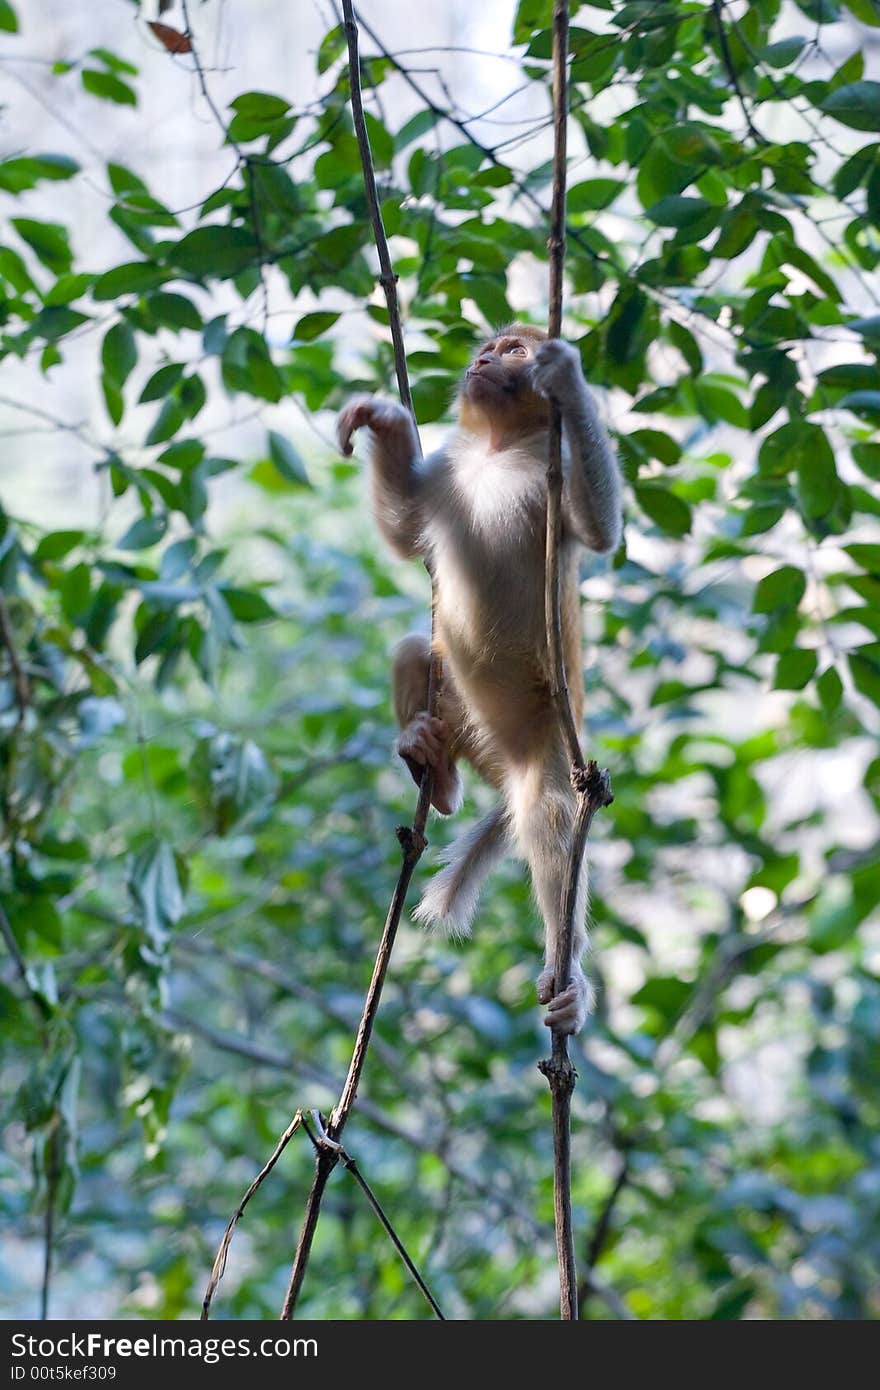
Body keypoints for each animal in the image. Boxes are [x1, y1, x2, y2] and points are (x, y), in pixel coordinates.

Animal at [335, 325, 617, 1039]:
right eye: (491, 346)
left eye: (515, 348)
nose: (487, 359)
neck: (498, 450)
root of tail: (500, 760)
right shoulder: (449, 472)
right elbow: (408, 533)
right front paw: (384, 420)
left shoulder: (557, 468)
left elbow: (600, 531)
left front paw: (567, 375)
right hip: (466, 714)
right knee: (418, 649)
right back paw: (432, 768)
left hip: (549, 740)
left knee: (549, 812)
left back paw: (568, 980)